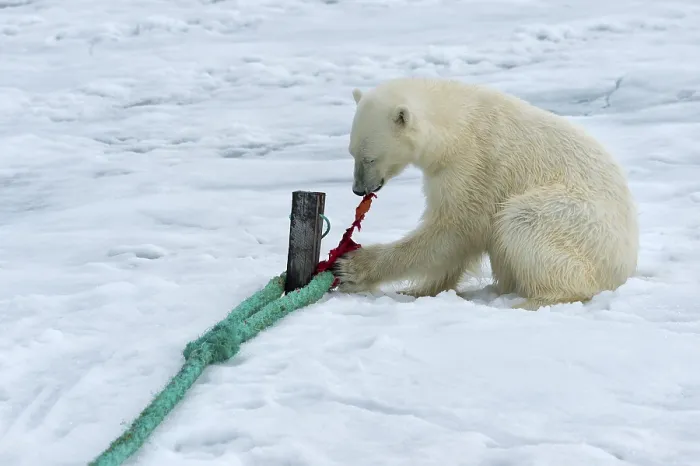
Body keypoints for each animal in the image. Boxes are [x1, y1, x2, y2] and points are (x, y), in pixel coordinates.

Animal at [333, 77, 639, 310]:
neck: (457, 123)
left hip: (579, 224)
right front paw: (420, 291)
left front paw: (349, 268)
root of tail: (625, 266)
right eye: (351, 152)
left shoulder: (474, 163)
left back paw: (531, 301)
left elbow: (454, 229)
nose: (359, 189)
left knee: (522, 220)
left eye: (370, 158)